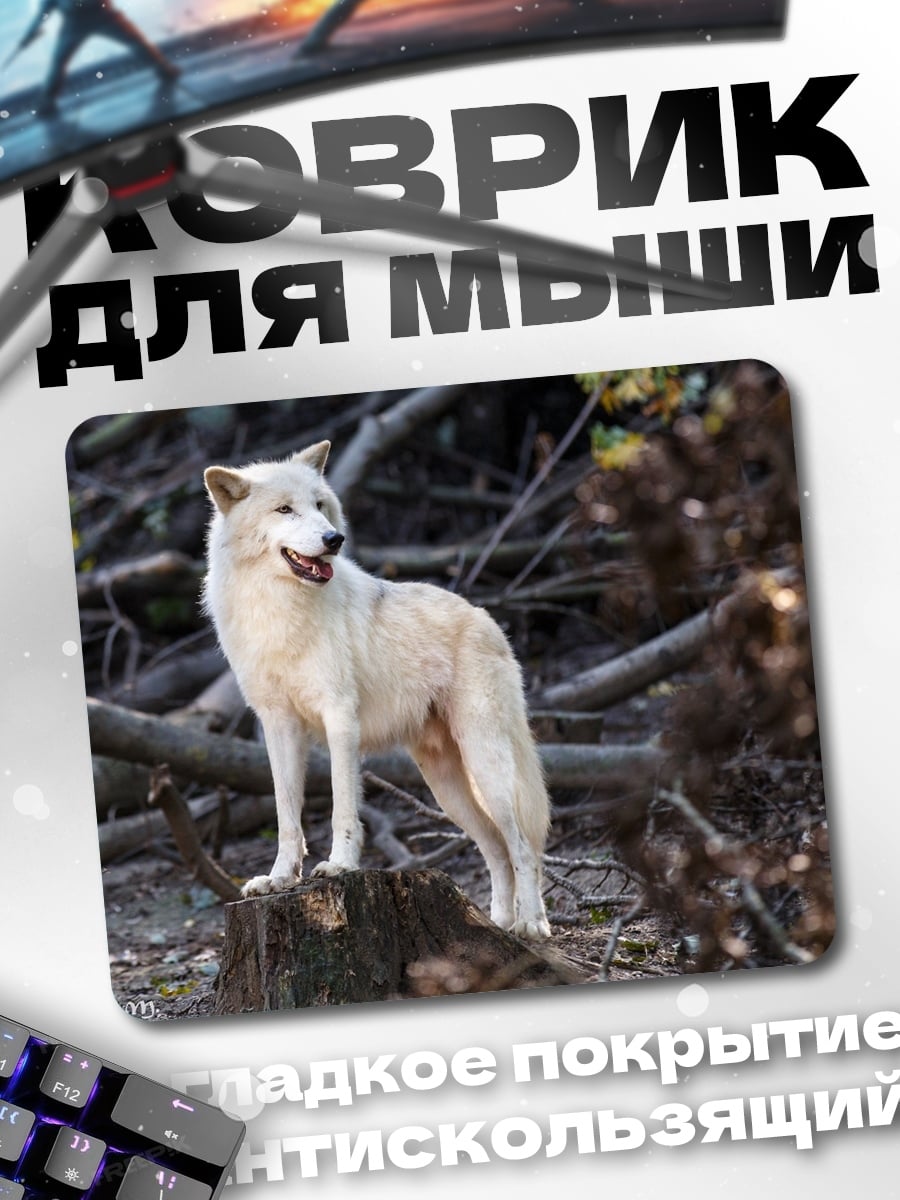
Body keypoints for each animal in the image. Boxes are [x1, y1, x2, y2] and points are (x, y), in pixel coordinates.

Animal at [202, 441, 551, 940]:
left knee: (523, 845)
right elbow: (287, 817)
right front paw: (279, 878)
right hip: (446, 787)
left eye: (320, 505)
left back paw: (532, 924)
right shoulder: (279, 726)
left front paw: (340, 866)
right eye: (285, 509)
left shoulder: (340, 719)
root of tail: (487, 618)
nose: (334, 539)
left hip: (488, 767)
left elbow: (342, 808)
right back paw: (498, 924)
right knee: (496, 849)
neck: (279, 608)